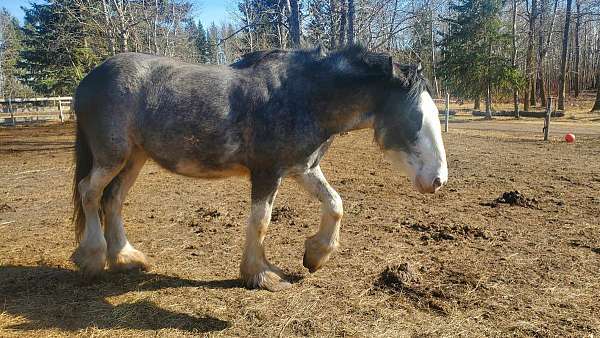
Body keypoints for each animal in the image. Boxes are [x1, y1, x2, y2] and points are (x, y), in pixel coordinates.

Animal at [71, 45, 446, 290]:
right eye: (415, 118)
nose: (438, 180)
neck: (304, 97)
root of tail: (89, 79)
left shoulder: (301, 168)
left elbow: (336, 203)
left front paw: (316, 255)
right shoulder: (267, 173)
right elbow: (261, 221)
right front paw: (261, 274)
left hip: (134, 158)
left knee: (112, 199)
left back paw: (125, 258)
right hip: (112, 156)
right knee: (89, 192)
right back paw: (92, 258)